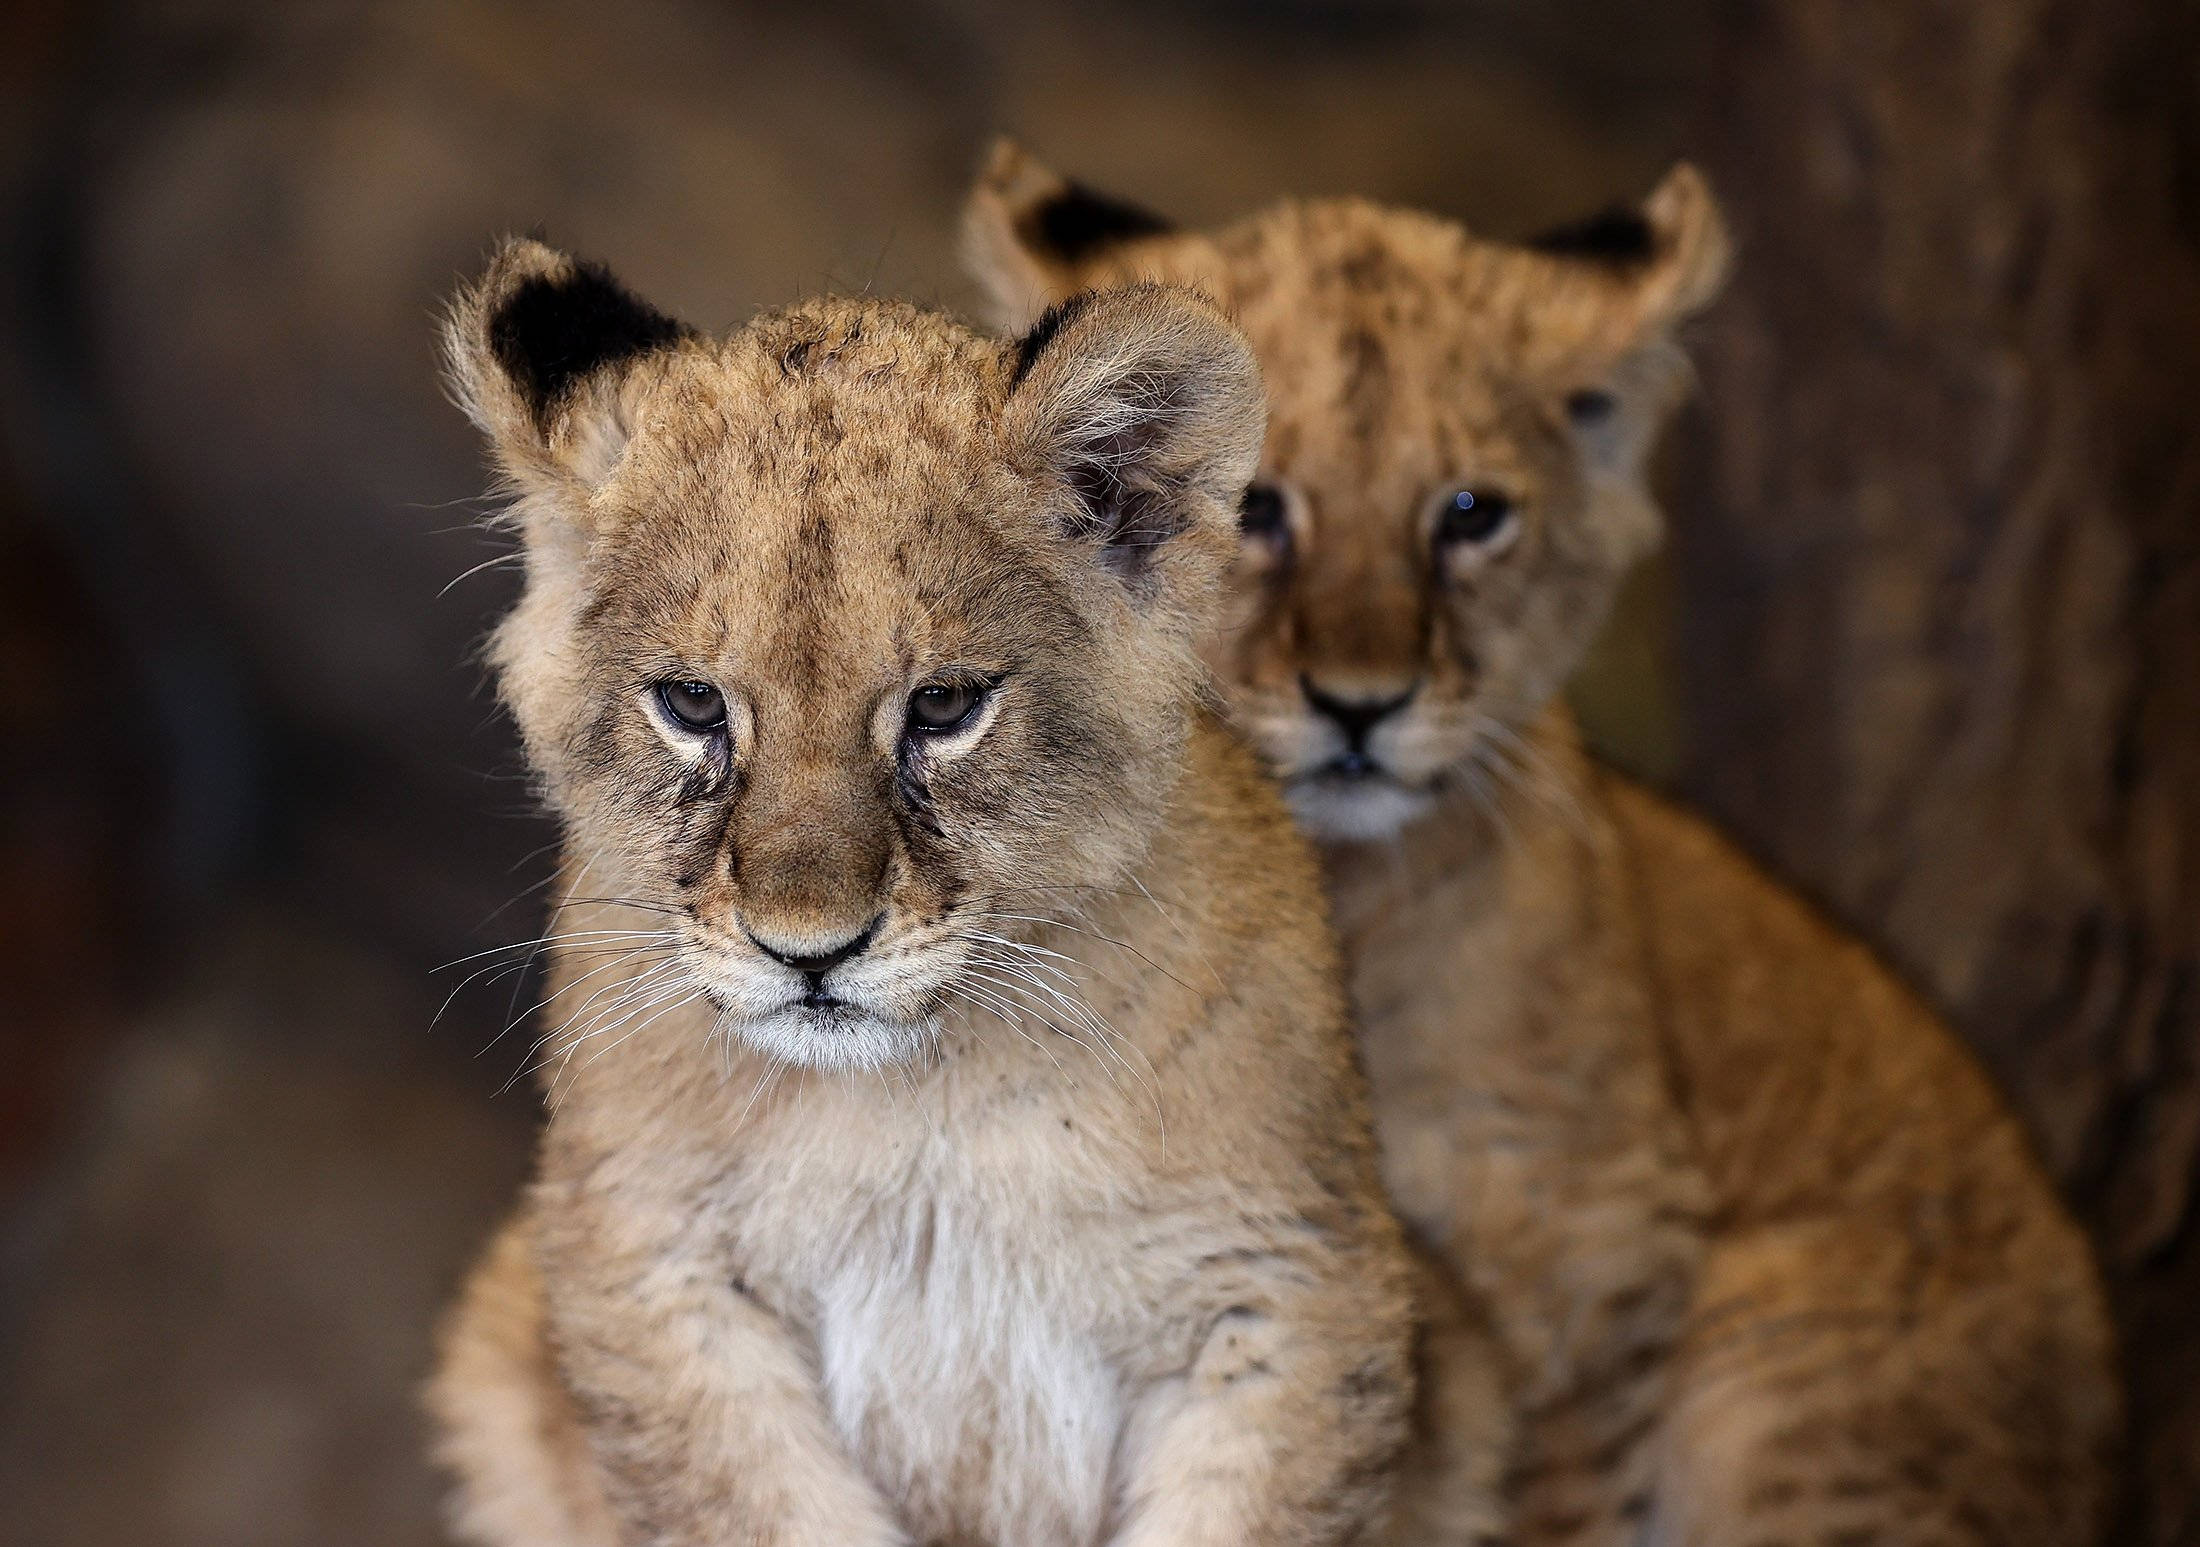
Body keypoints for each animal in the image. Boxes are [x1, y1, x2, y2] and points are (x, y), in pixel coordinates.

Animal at [964, 143, 2120, 1546]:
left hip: (1769, 1370)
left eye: (1469, 515)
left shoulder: (1588, 1260)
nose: (1361, 704)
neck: (1349, 892)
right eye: (1258, 509)